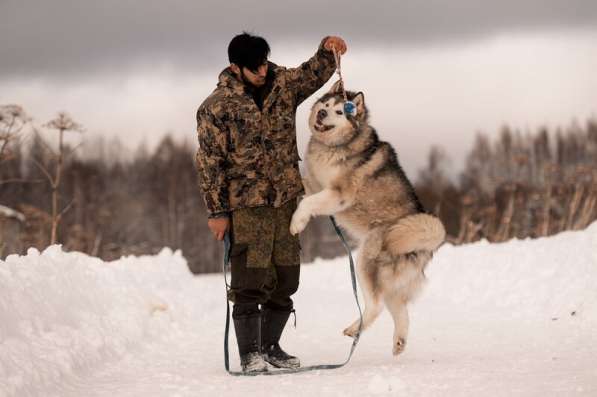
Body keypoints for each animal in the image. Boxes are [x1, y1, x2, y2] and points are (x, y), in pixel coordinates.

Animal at [292, 81, 444, 356]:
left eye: (340, 112)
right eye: (326, 104)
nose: (322, 114)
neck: (333, 146)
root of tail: (426, 247)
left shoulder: (338, 194)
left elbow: (308, 203)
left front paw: (297, 222)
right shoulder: (316, 184)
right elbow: (303, 184)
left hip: (366, 260)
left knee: (376, 304)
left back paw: (355, 329)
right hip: (390, 280)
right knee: (399, 309)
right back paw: (398, 343)